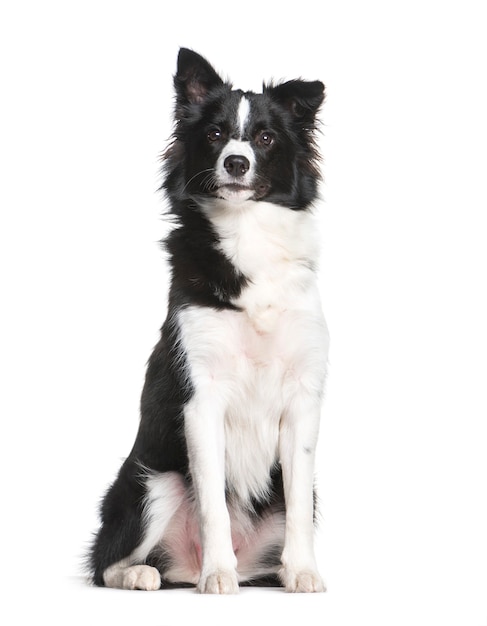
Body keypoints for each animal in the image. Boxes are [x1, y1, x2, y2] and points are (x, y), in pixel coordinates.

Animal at [89, 47, 330, 588]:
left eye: (265, 137)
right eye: (216, 134)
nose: (236, 163)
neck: (247, 234)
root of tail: (181, 565)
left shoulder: (302, 403)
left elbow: (299, 503)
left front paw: (303, 570)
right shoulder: (200, 399)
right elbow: (214, 502)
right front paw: (217, 574)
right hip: (153, 483)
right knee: (104, 562)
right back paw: (148, 575)